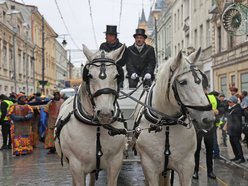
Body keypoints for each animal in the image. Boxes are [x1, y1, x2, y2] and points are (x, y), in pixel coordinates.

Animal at [55, 44, 127, 185]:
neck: (97, 126)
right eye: (89, 75)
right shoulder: (76, 166)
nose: (105, 113)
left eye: (117, 75)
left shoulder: (116, 163)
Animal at [134, 48, 215, 186]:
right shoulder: (149, 167)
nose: (208, 119)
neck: (166, 124)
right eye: (182, 82)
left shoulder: (187, 166)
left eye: (202, 80)